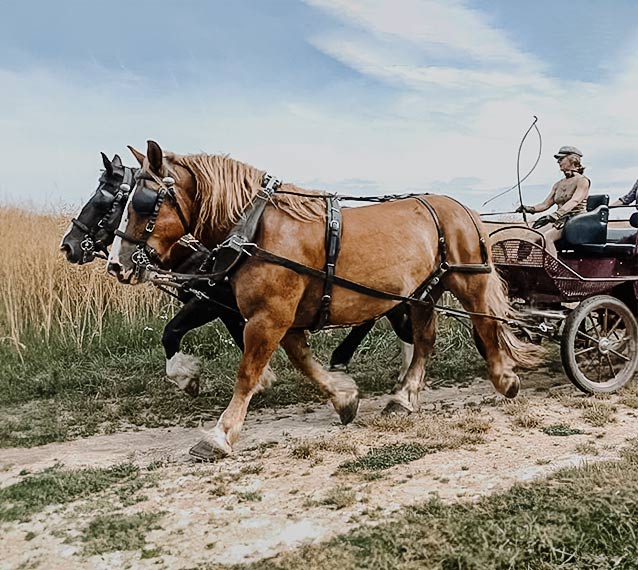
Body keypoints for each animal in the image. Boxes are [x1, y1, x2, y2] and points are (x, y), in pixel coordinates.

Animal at [109, 140, 540, 460]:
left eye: (143, 203)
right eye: (119, 202)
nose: (117, 264)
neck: (257, 228)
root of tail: (463, 208)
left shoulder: (269, 316)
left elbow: (248, 372)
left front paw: (220, 434)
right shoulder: (281, 316)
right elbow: (302, 361)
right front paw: (344, 397)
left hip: (468, 280)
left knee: (485, 323)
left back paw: (504, 379)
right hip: (422, 292)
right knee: (424, 340)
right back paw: (404, 396)